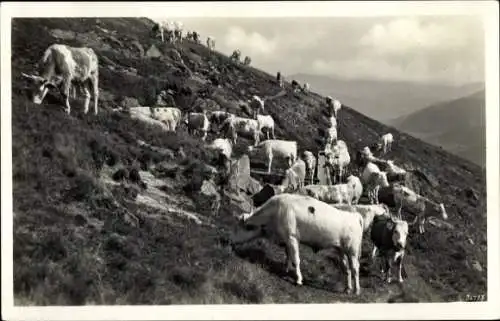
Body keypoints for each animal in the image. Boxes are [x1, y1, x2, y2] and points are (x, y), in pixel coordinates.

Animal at [232, 192, 366, 296]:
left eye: (239, 228)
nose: (230, 240)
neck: (275, 211)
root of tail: (355, 216)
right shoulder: (287, 239)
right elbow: (288, 255)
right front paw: (286, 270)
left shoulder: (292, 238)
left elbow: (296, 259)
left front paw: (298, 280)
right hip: (341, 250)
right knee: (347, 269)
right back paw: (348, 289)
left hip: (352, 251)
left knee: (355, 268)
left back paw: (357, 290)